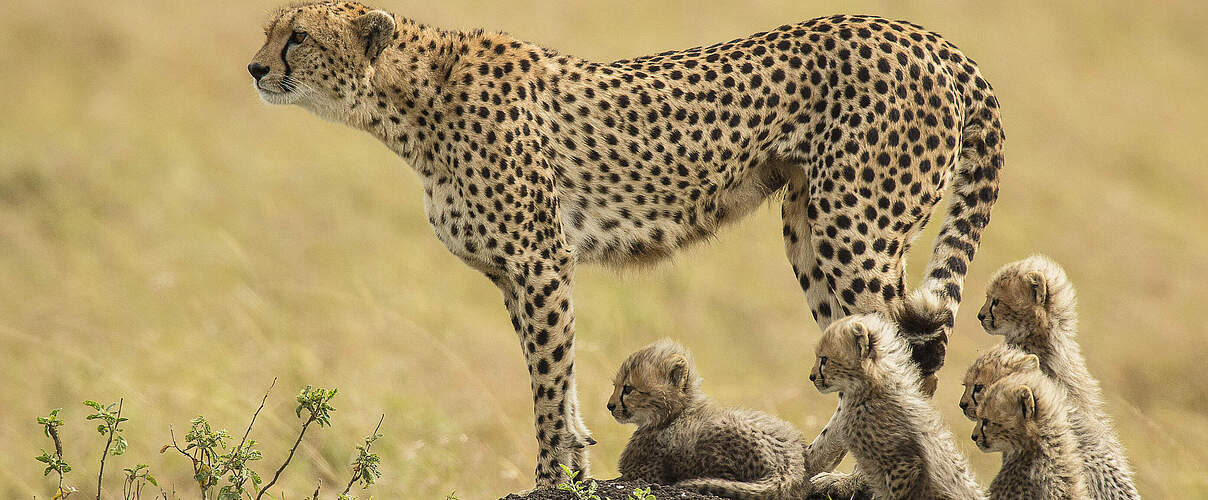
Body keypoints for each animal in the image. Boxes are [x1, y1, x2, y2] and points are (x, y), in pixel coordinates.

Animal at [250, 0, 1005, 485]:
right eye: (269, 32)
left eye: (298, 37)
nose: (255, 69)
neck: (410, 101)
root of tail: (921, 34)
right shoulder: (515, 275)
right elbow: (555, 379)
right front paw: (576, 460)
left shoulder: (541, 262)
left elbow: (549, 378)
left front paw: (553, 475)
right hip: (809, 229)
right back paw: (810, 465)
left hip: (855, 228)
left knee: (903, 354)